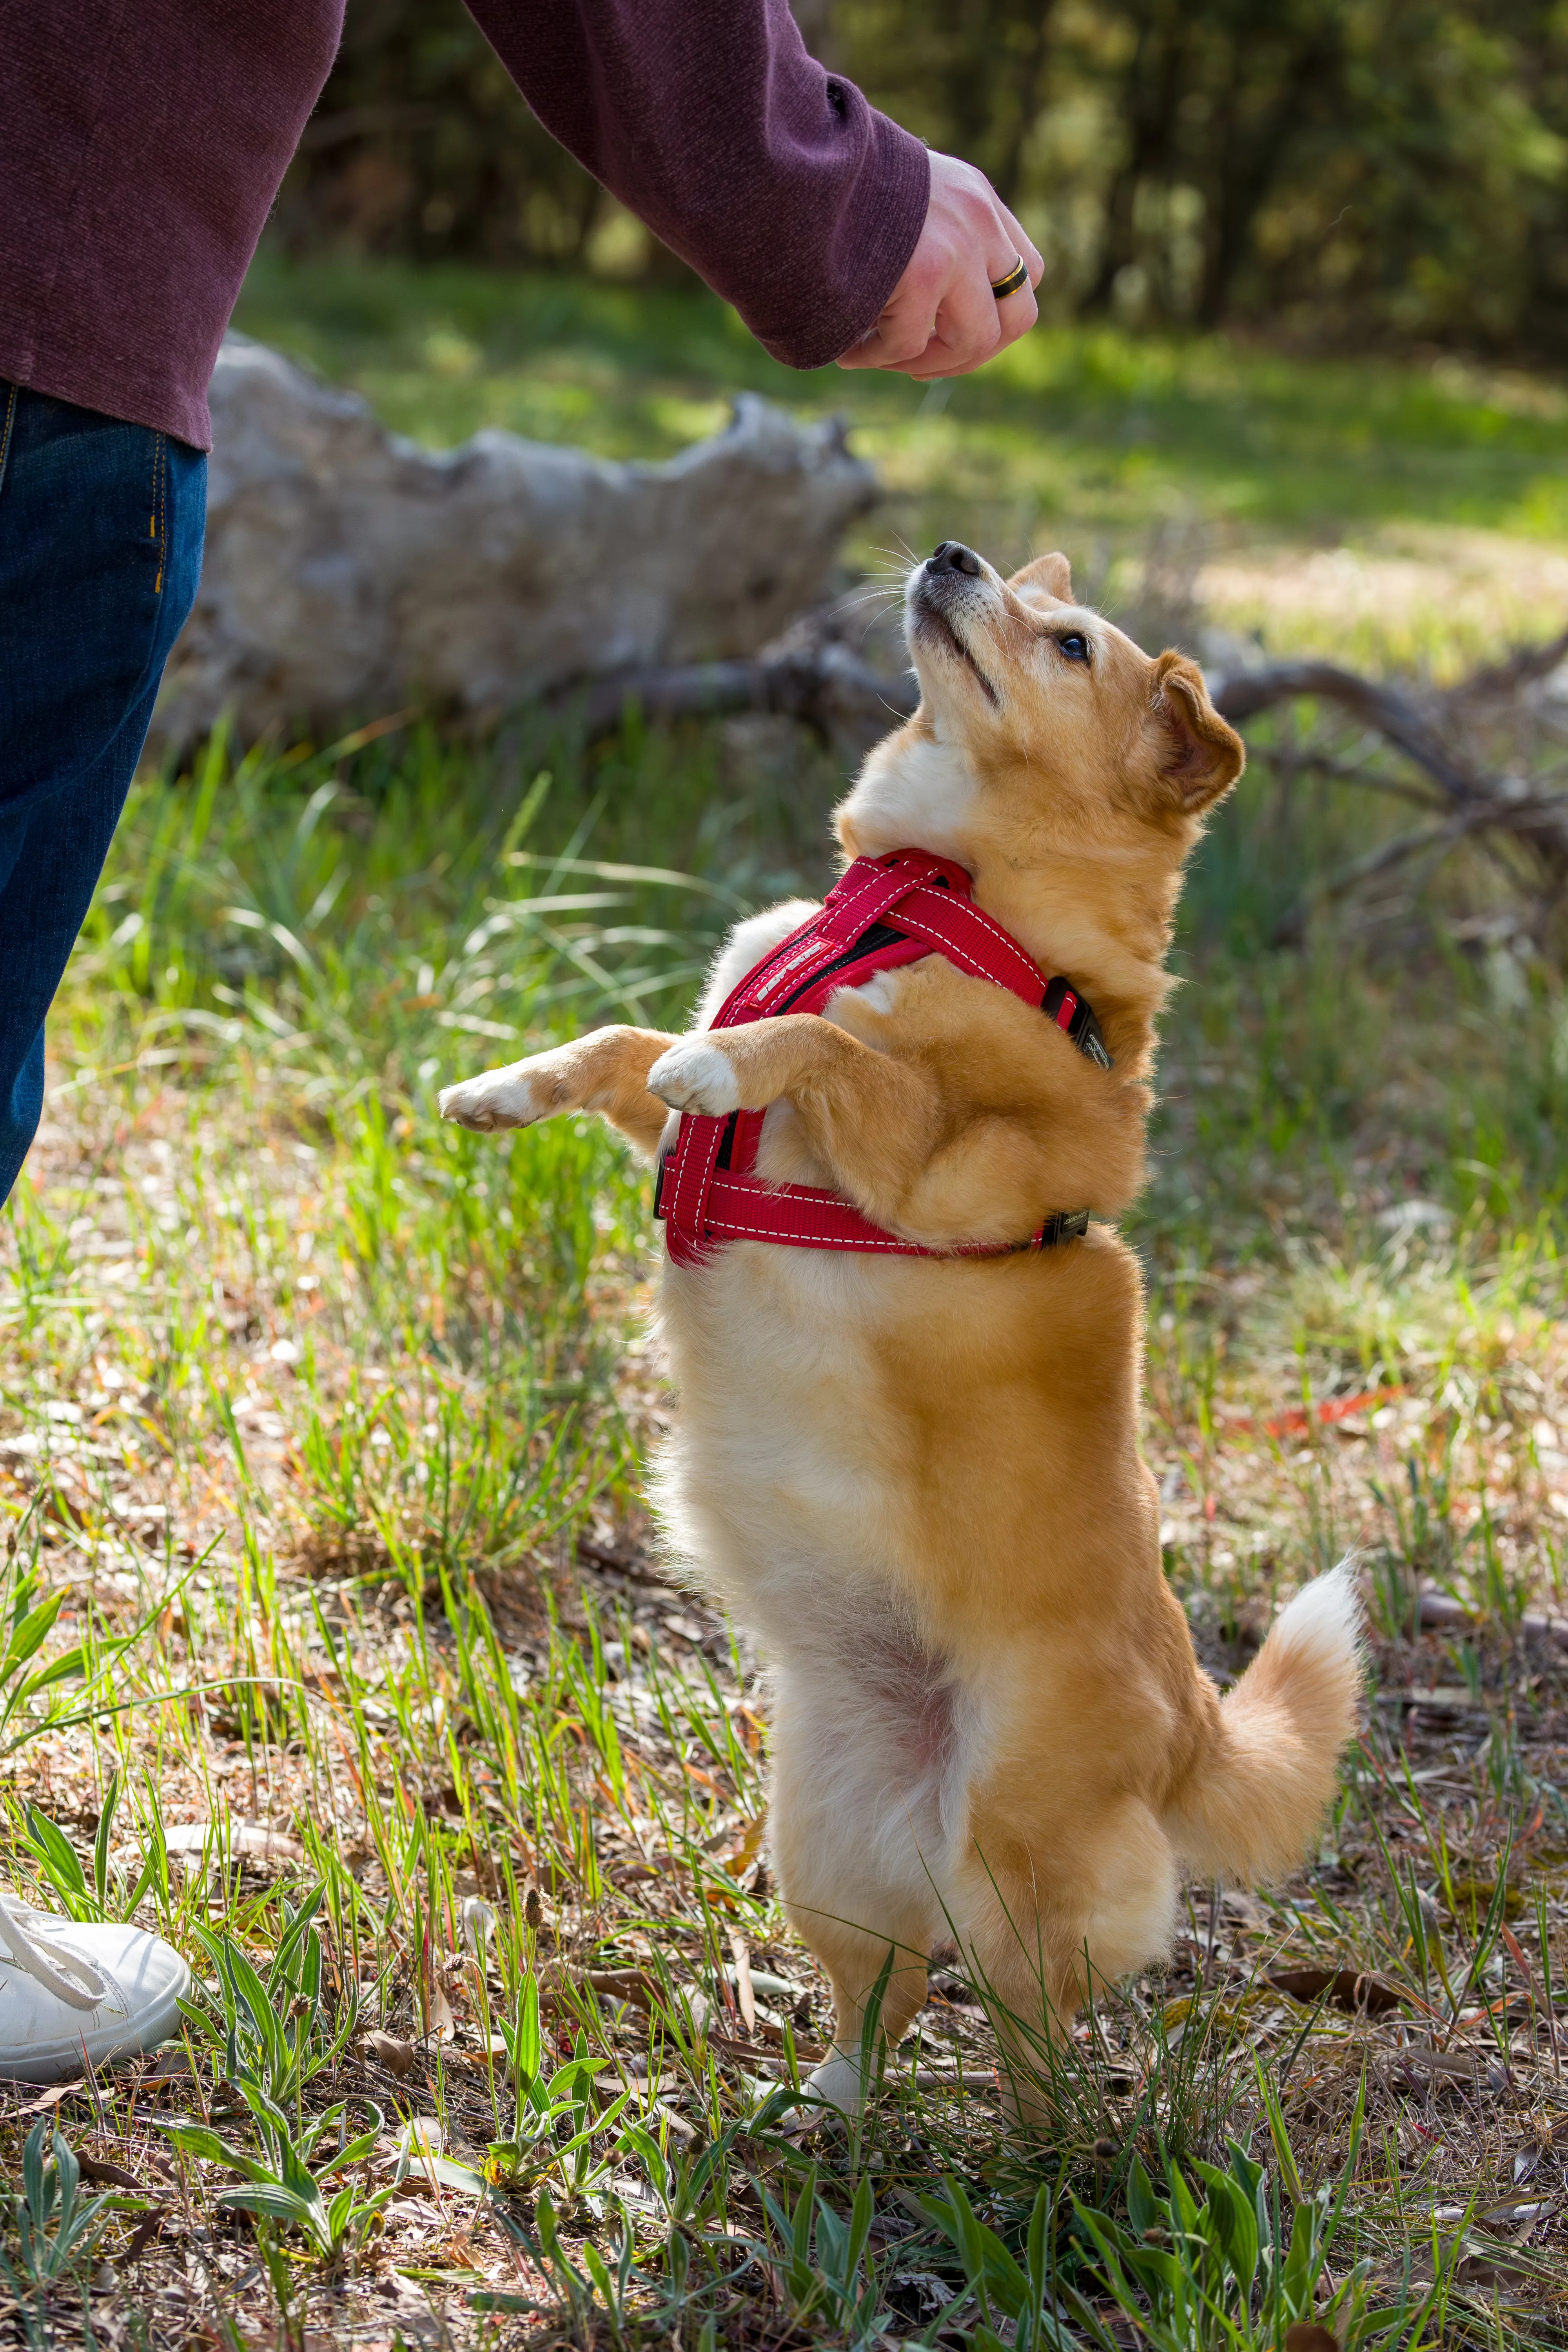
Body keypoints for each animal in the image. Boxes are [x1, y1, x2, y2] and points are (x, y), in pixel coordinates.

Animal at [439, 541, 1363, 2126]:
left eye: (1067, 642)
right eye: (1027, 590)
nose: (950, 554)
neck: (934, 890)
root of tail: (1189, 1715)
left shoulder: (930, 1164)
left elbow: (815, 1042)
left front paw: (735, 1056)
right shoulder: (691, 1085)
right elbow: (625, 1051)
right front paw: (507, 1082)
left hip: (1009, 1869)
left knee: (1028, 2032)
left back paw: (1039, 2163)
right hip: (820, 1839)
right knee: (882, 1991)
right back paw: (823, 2097)